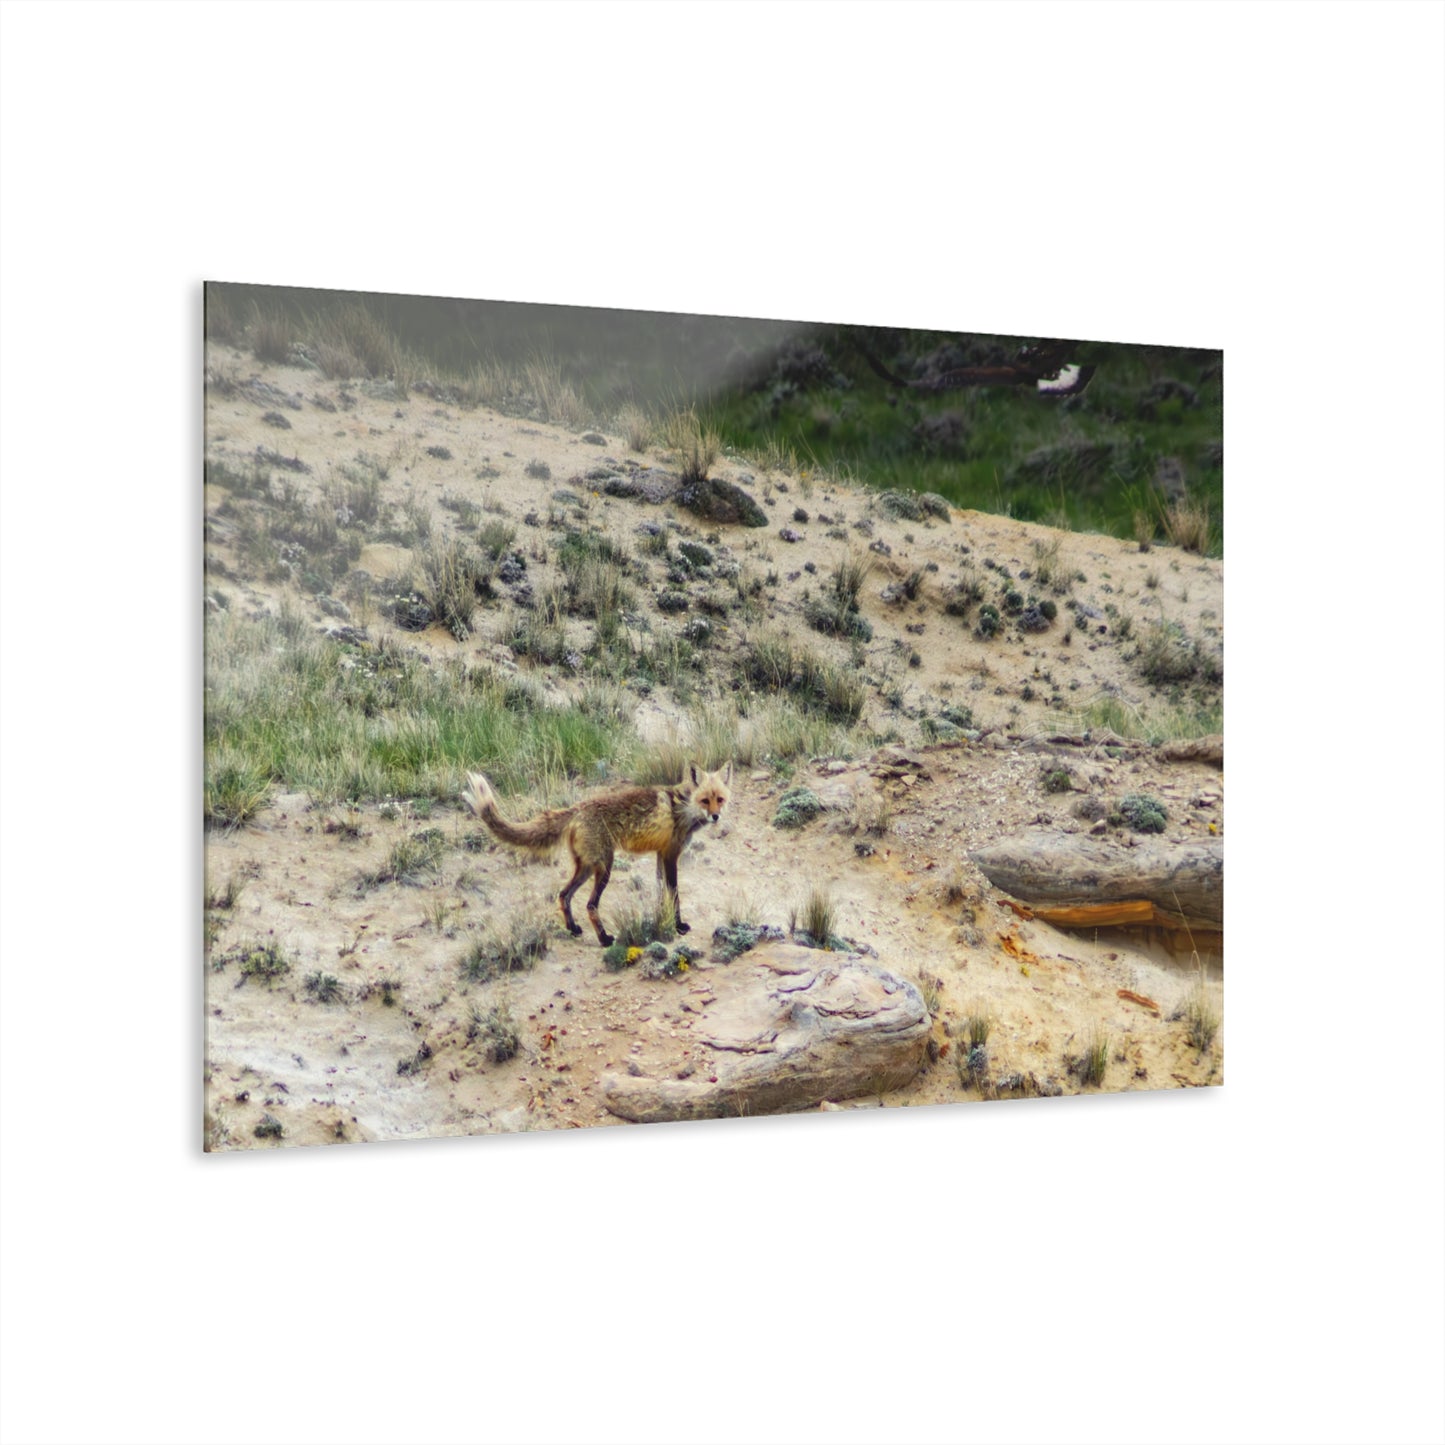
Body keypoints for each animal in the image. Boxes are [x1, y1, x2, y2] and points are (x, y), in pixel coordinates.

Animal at [462, 762, 733, 947]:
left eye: (720, 799)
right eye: (705, 800)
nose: (715, 816)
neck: (684, 807)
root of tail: (577, 808)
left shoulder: (660, 854)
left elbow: (661, 893)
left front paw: (661, 920)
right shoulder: (670, 855)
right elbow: (674, 894)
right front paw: (678, 926)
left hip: (586, 867)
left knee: (564, 895)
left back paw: (573, 929)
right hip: (605, 867)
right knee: (590, 905)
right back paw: (604, 939)